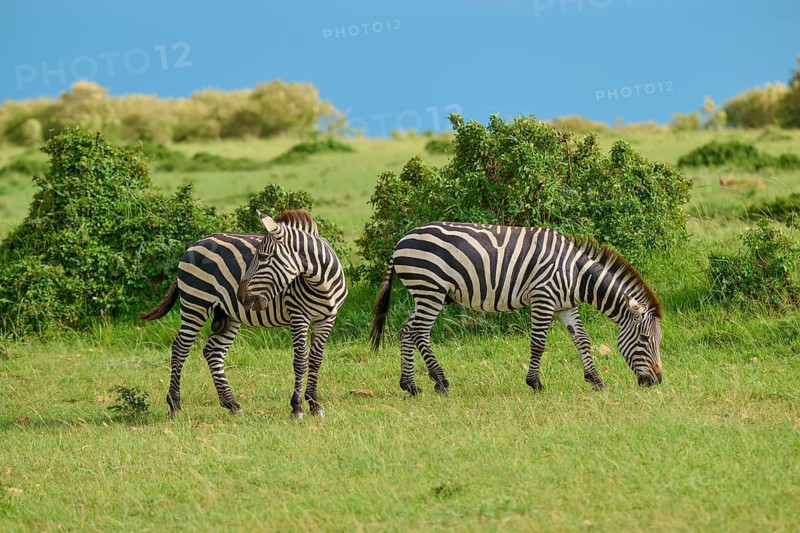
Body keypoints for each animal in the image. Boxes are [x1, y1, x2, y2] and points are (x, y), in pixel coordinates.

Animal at [140, 209, 348, 418]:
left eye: (263, 257)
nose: (240, 296)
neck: (321, 284)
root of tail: (195, 244)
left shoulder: (328, 319)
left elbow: (316, 360)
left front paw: (315, 404)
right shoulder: (298, 316)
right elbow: (300, 361)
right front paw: (297, 407)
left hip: (229, 314)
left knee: (213, 352)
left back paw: (231, 404)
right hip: (196, 303)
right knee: (180, 348)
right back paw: (175, 405)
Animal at [370, 222, 663, 396]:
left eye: (659, 340)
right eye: (644, 339)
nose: (657, 381)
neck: (577, 275)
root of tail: (401, 241)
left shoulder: (566, 306)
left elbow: (582, 340)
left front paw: (596, 380)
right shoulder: (543, 297)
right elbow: (538, 344)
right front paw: (535, 383)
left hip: (426, 293)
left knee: (407, 331)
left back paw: (411, 385)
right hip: (429, 289)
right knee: (418, 332)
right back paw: (440, 382)